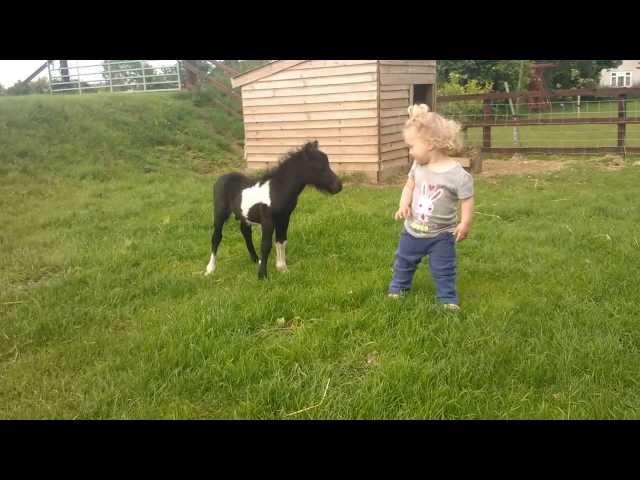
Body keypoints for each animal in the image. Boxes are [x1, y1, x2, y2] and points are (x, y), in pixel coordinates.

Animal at [206, 141, 344, 280]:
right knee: (216, 237)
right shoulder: (268, 220)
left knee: (245, 232)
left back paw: (256, 260)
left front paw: (282, 269)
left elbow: (281, 241)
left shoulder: (284, 218)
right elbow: (266, 245)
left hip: (244, 216)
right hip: (219, 213)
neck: (277, 189)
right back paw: (210, 269)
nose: (338, 186)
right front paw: (262, 276)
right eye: (319, 166)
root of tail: (222, 178)